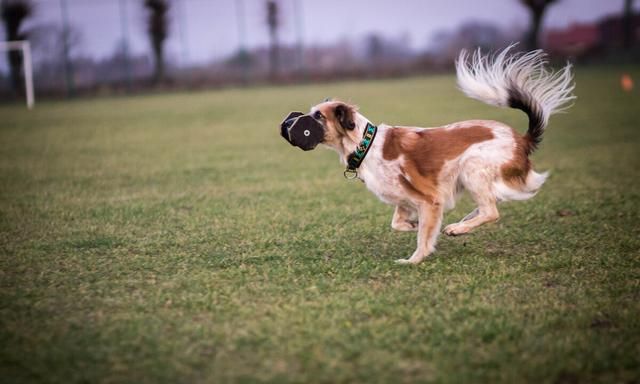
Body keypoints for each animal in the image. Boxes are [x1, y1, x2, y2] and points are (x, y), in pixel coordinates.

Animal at [280, 45, 576, 264]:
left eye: (318, 116)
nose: (292, 124)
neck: (366, 144)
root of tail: (521, 139)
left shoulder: (430, 199)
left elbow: (423, 235)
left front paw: (415, 259)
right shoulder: (405, 199)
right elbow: (398, 223)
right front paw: (413, 226)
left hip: (472, 167)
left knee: (491, 211)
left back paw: (459, 227)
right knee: (489, 204)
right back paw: (461, 223)